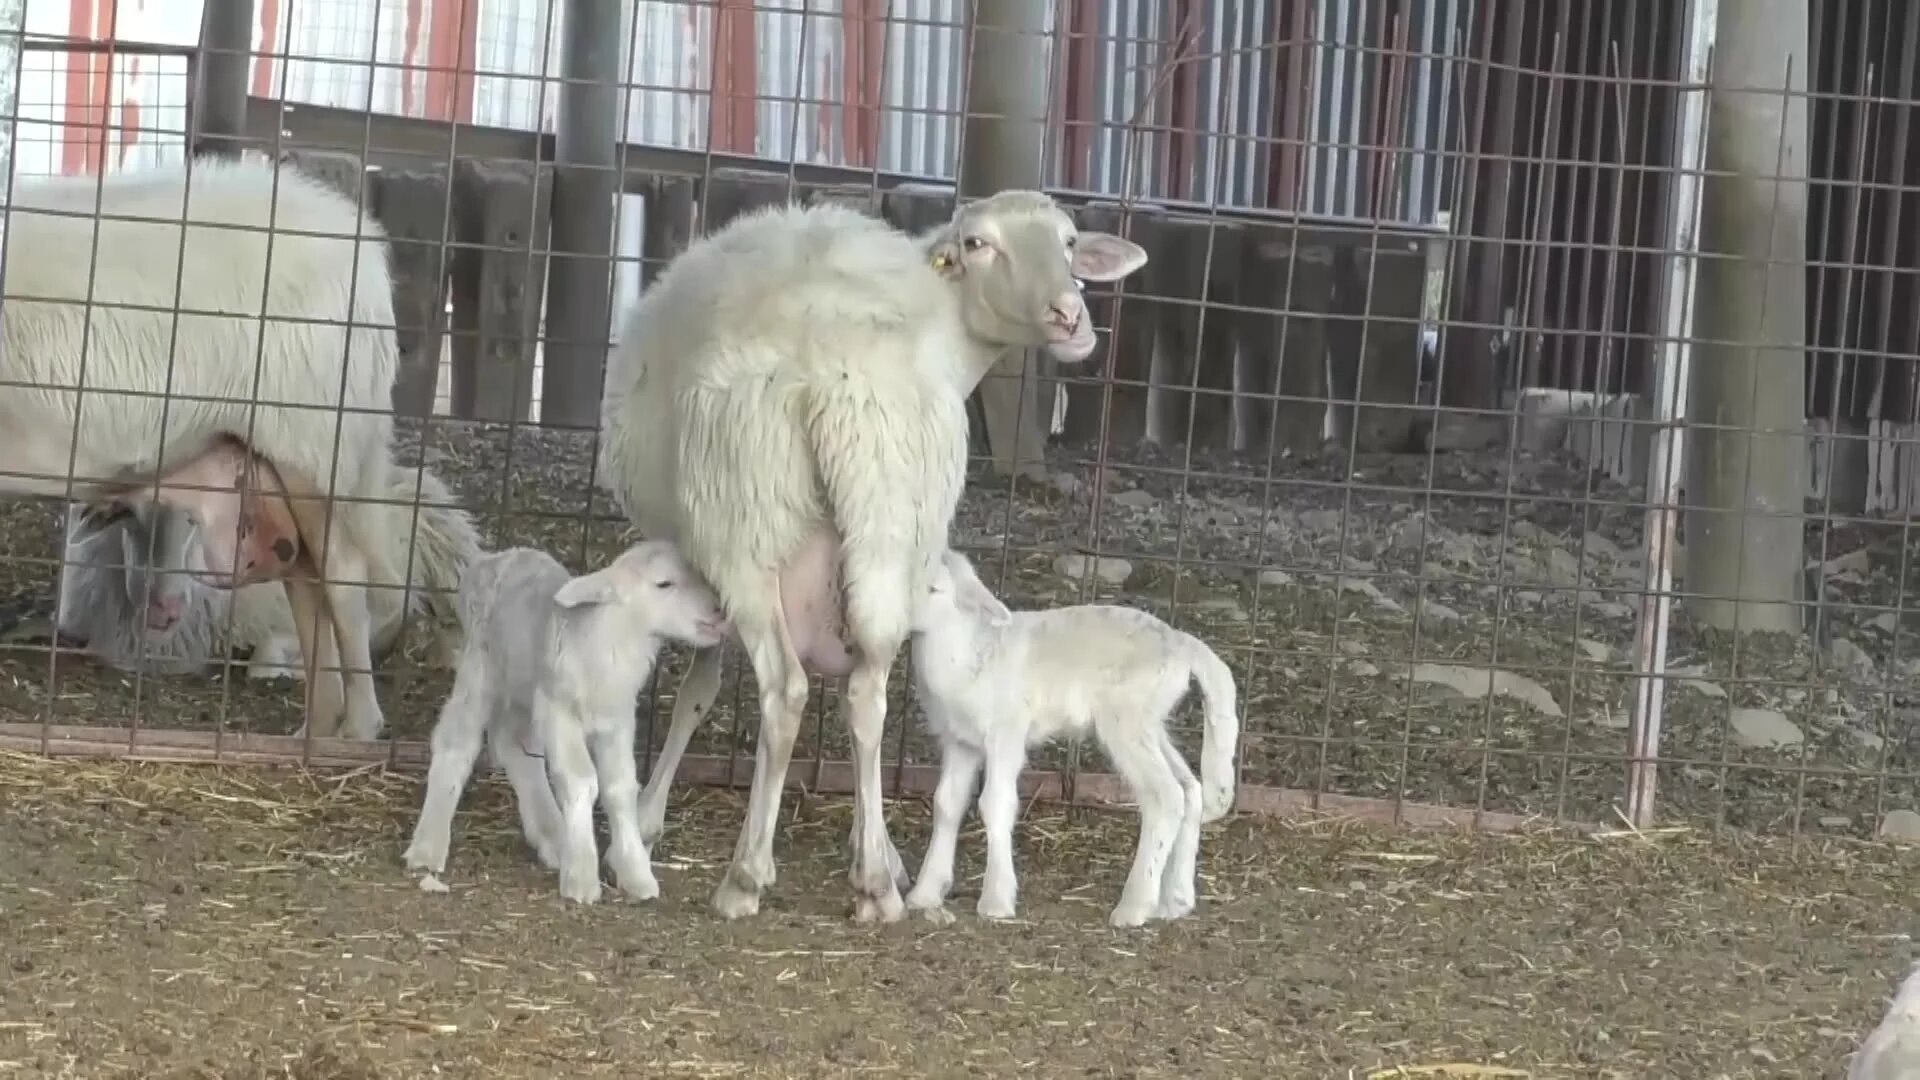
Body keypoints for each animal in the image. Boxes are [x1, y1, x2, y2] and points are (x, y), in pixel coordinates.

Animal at [0, 155, 405, 734]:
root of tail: (366, 255)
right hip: (277, 457)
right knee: (306, 581)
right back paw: (316, 726)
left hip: (313, 441)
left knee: (344, 579)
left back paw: (357, 728)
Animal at [401, 538, 729, 899]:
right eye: (664, 583)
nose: (719, 610)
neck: (611, 637)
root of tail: (493, 558)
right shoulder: (559, 711)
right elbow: (580, 779)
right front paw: (582, 877)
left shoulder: (617, 720)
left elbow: (620, 787)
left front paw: (635, 873)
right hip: (481, 666)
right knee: (457, 741)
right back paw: (428, 846)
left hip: (524, 685)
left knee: (514, 743)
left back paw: (554, 837)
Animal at [595, 189, 1136, 922]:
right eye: (977, 244)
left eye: (1070, 241)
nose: (1070, 315)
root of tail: (833, 375)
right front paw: (874, 847)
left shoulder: (697, 558)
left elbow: (696, 692)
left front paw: (648, 818)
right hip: (888, 518)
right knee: (867, 693)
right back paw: (877, 881)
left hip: (745, 524)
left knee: (787, 690)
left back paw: (746, 878)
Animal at [902, 545, 1236, 926]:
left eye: (934, 590)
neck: (968, 650)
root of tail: (1182, 644)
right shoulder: (960, 741)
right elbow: (947, 804)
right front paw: (925, 893)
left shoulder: (1006, 733)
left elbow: (996, 803)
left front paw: (996, 900)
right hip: (1149, 722)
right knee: (1190, 789)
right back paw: (1175, 901)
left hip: (1126, 719)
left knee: (1165, 796)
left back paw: (1134, 906)